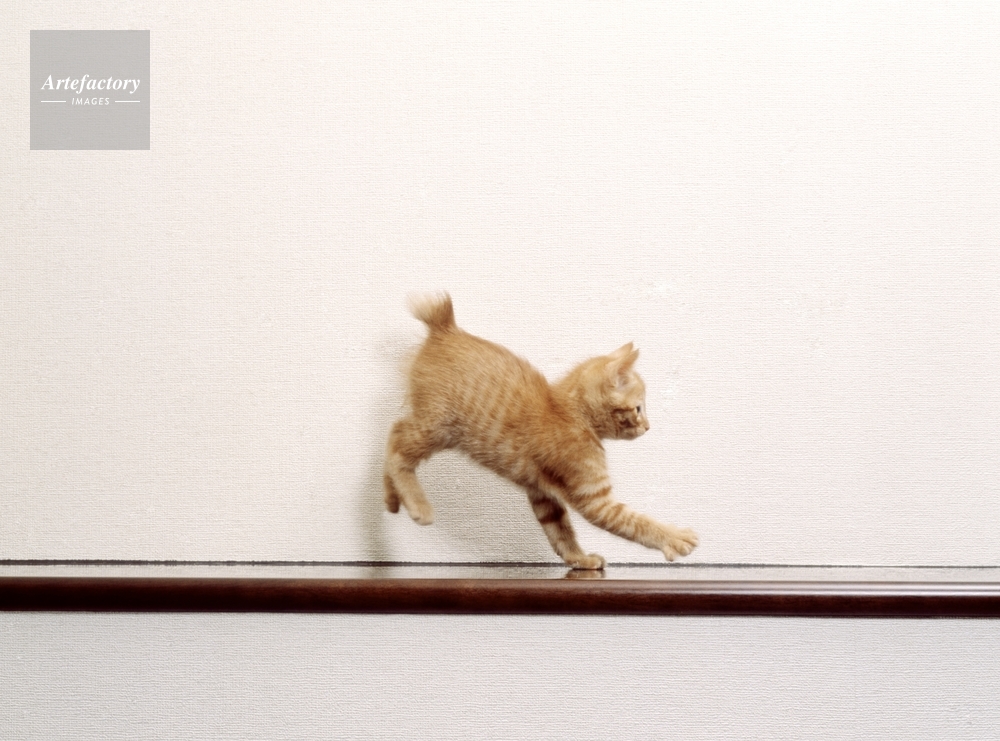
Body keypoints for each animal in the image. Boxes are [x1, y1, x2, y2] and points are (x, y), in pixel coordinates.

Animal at [383, 293, 698, 569]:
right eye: (638, 409)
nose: (648, 426)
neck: (571, 413)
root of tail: (445, 328)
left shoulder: (542, 493)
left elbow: (560, 530)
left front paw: (579, 559)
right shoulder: (595, 498)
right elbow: (635, 521)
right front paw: (674, 537)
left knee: (392, 438)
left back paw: (392, 499)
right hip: (438, 425)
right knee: (397, 443)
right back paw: (417, 506)